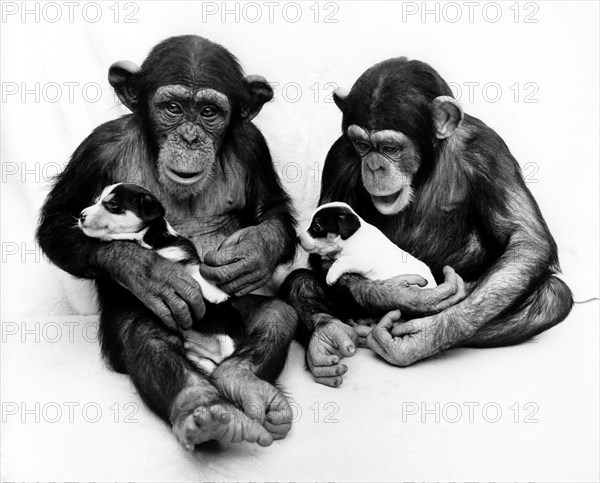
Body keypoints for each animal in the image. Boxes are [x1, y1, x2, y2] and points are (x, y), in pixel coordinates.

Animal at [78, 182, 238, 374]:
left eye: (113, 204)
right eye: (96, 201)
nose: (81, 215)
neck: (145, 240)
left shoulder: (184, 252)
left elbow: (196, 272)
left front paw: (217, 294)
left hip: (227, 340)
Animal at [298, 201, 436, 288]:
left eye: (317, 227)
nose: (298, 239)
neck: (351, 238)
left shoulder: (361, 261)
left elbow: (342, 260)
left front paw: (331, 275)